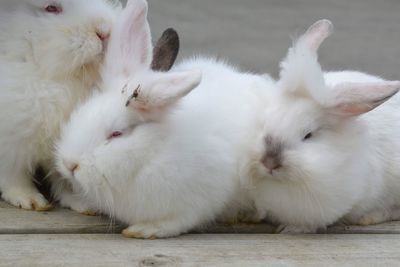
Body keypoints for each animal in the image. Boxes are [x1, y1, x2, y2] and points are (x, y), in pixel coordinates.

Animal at [0, 0, 121, 211]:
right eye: (51, 8)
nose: (104, 31)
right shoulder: (12, 144)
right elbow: (13, 175)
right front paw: (29, 199)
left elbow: (65, 177)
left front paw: (82, 203)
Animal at [55, 0, 268, 239]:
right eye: (80, 113)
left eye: (116, 133)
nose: (69, 164)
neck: (150, 153)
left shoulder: (198, 199)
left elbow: (178, 221)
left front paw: (144, 230)